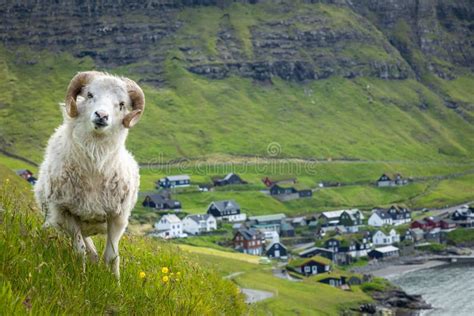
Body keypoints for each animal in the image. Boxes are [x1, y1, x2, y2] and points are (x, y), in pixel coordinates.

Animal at [34, 71, 144, 278]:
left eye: (121, 104)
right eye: (90, 94)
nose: (101, 115)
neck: (95, 165)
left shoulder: (118, 217)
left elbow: (112, 256)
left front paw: (115, 283)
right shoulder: (65, 212)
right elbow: (80, 250)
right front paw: (82, 278)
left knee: (95, 252)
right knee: (88, 249)